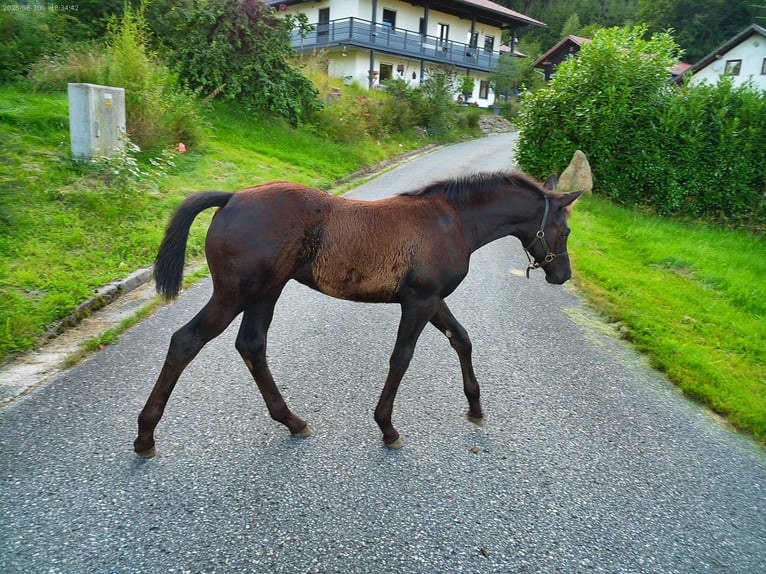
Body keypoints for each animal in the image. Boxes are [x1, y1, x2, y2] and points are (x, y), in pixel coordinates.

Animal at [133, 172, 583, 457]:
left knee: (251, 345)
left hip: (266, 292)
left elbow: (462, 338)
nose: (561, 275)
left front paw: (475, 407)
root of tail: (231, 197)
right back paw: (145, 437)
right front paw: (387, 428)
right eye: (566, 230)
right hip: (236, 293)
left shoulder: (432, 300)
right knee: (187, 340)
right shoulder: (419, 302)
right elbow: (401, 359)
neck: (452, 220)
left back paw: (292, 420)